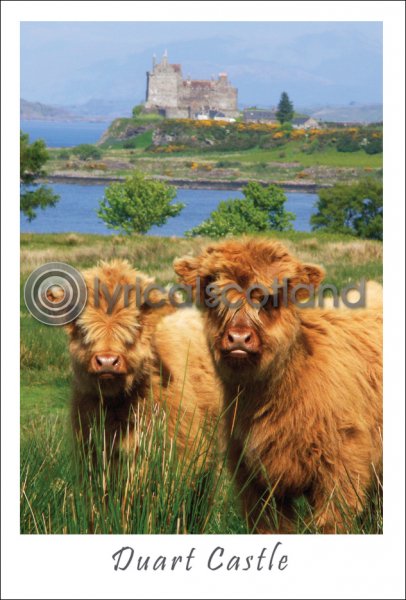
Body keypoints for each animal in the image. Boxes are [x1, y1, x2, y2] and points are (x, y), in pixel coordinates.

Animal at [175, 237, 384, 532]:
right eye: (213, 295)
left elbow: (331, 523)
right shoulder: (254, 482)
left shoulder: (341, 469)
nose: (239, 338)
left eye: (270, 298)